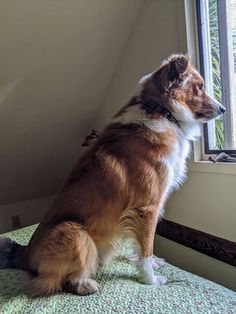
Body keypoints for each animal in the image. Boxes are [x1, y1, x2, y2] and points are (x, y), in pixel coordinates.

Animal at [0, 54, 225, 296]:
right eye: (199, 86)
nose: (223, 109)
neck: (161, 111)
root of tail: (24, 254)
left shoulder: (135, 213)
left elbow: (140, 244)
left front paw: (152, 263)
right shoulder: (147, 208)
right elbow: (147, 247)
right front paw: (151, 280)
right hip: (76, 233)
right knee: (56, 281)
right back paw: (85, 284)